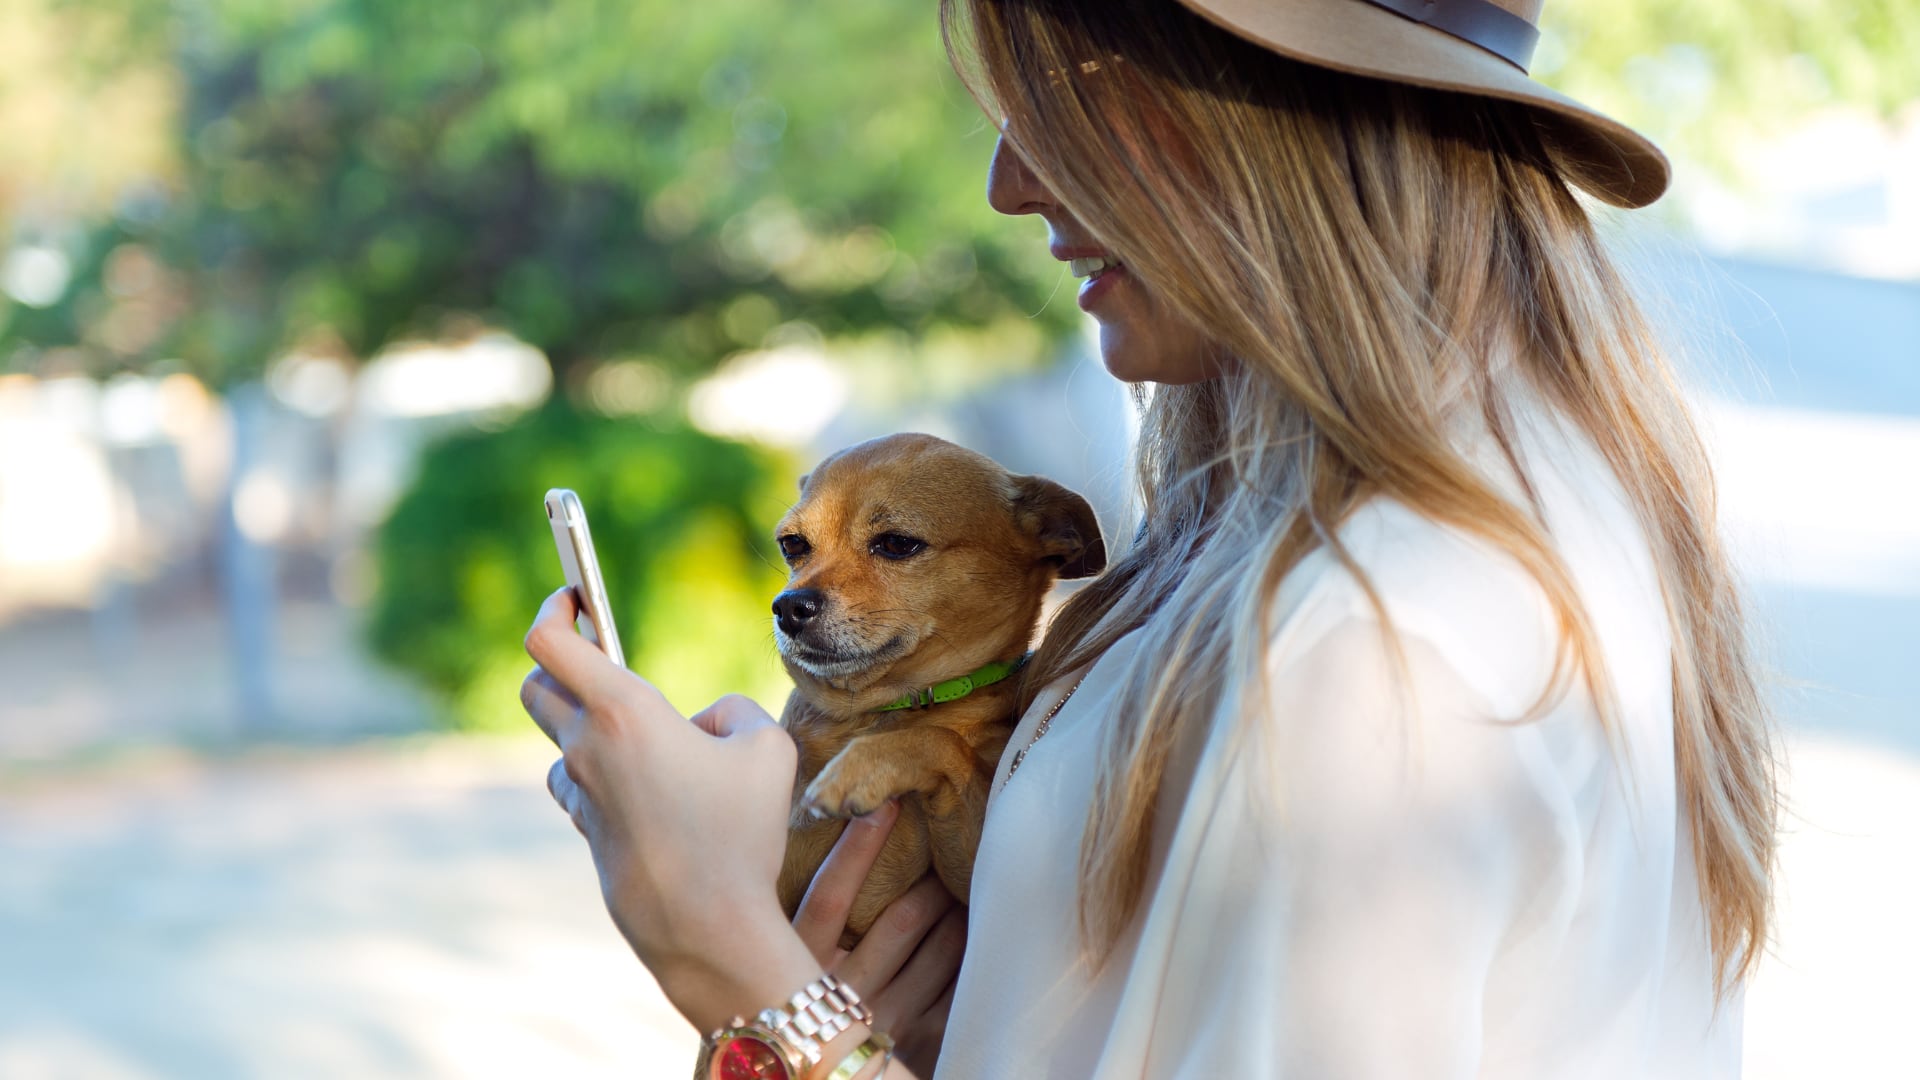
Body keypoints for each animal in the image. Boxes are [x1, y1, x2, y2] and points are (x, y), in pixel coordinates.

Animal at [775, 430, 1113, 941]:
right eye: (792, 544)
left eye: (897, 544)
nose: (789, 606)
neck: (875, 712)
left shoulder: (975, 884)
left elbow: (940, 741)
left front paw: (861, 768)